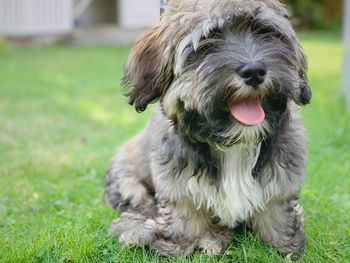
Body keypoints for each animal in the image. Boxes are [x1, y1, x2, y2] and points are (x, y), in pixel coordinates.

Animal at [103, 0, 312, 260]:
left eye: (265, 32)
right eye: (208, 41)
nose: (254, 71)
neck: (234, 142)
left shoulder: (284, 171)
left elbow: (277, 209)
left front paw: (284, 244)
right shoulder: (176, 181)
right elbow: (185, 215)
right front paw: (176, 246)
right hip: (127, 179)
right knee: (141, 205)